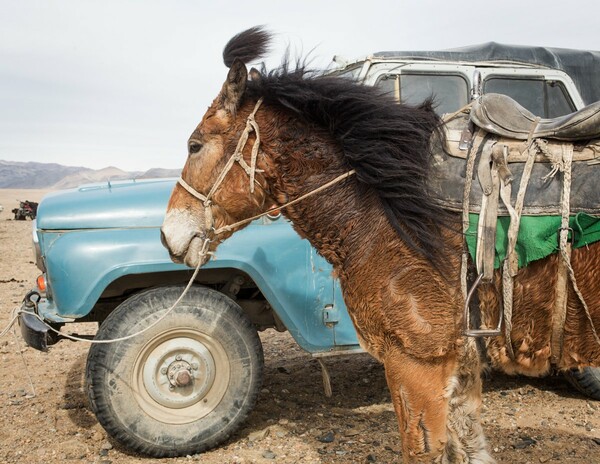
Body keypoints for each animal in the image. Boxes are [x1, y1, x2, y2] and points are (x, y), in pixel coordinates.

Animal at [161, 27, 600, 462]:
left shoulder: (417, 364)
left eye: (194, 145)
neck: (391, 213)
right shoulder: (459, 362)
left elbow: (422, 451)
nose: (167, 235)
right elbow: (468, 446)